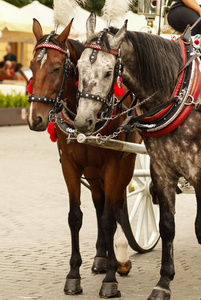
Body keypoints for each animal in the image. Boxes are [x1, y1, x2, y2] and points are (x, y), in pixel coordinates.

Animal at [26, 18, 141, 298]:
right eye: (32, 66)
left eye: (57, 68)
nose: (35, 118)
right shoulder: (71, 165)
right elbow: (75, 217)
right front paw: (73, 276)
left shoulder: (114, 163)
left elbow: (111, 218)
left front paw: (110, 279)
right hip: (93, 170)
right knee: (100, 204)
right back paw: (102, 257)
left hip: (127, 162)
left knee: (116, 205)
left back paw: (119, 258)